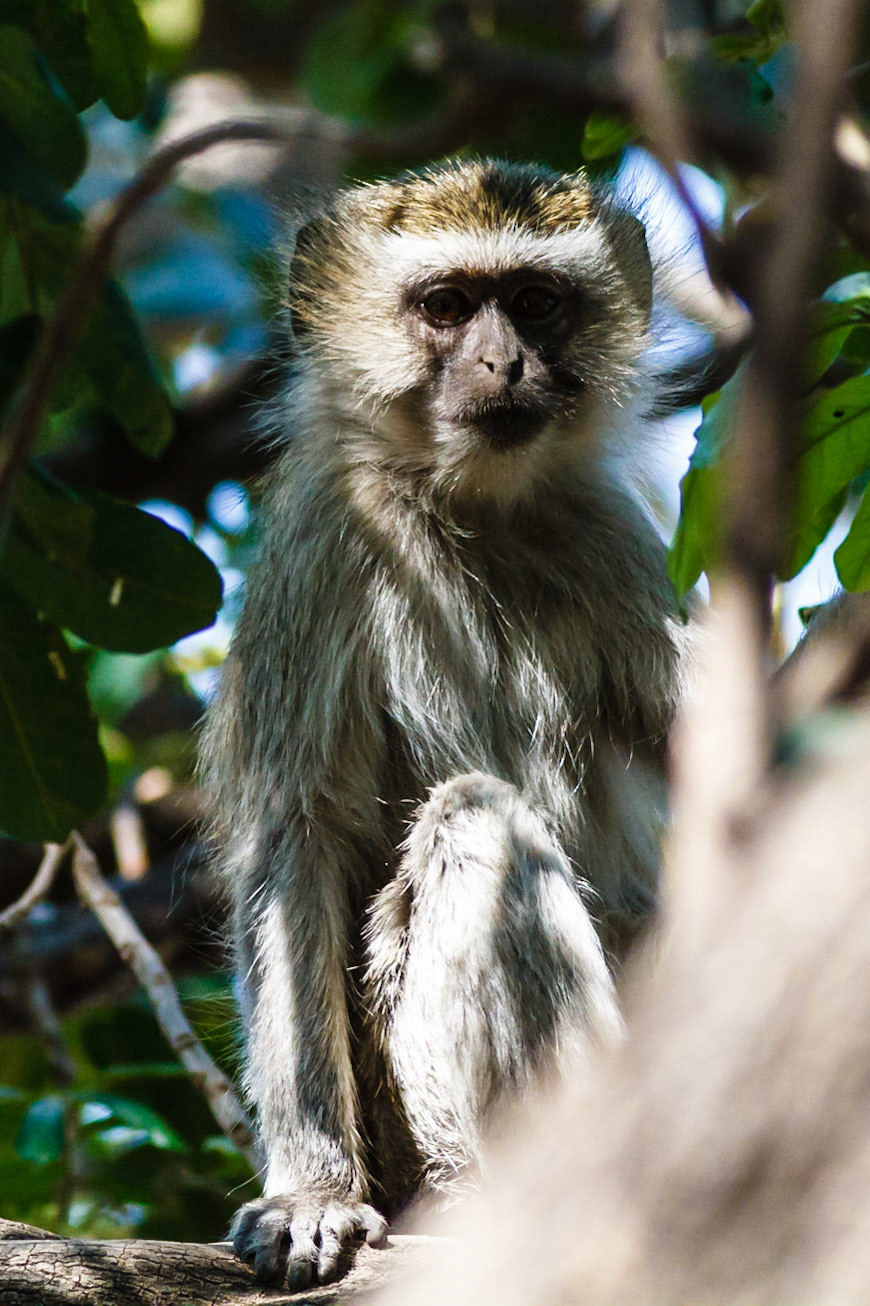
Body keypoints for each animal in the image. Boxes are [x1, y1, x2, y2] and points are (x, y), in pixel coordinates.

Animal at [200, 157, 683, 1290]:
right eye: (448, 306)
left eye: (538, 304)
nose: (505, 362)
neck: (475, 507)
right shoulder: (326, 541)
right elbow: (296, 838)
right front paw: (310, 1189)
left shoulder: (616, 544)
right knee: (475, 819)